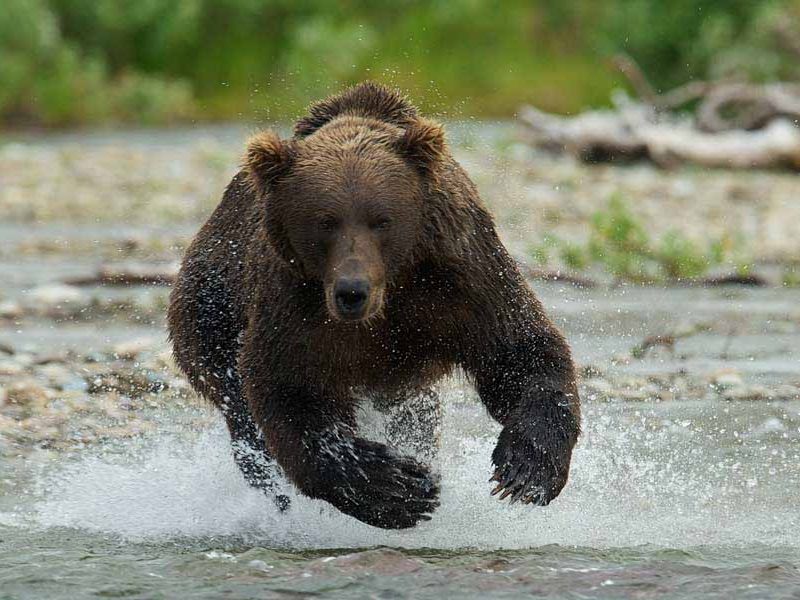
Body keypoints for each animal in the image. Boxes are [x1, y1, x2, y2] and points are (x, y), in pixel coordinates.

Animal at [169, 83, 580, 528]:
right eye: (325, 221)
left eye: (381, 220)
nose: (352, 290)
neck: (391, 294)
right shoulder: (293, 304)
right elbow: (290, 391)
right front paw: (400, 488)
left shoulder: (463, 279)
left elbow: (517, 351)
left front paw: (525, 470)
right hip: (210, 315)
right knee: (246, 420)